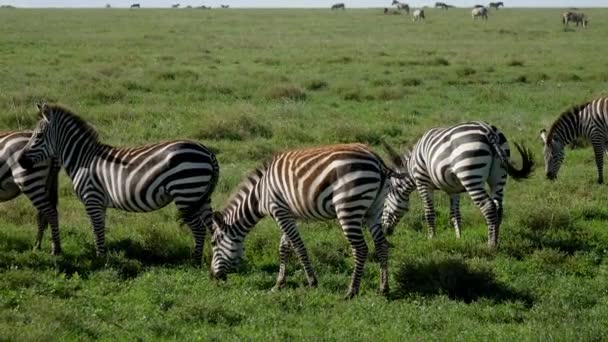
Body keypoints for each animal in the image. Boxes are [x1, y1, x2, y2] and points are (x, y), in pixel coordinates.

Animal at [16, 103, 221, 264]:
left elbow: (97, 229)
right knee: (212, 227)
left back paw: (195, 262)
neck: (83, 159)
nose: (20, 161)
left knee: (199, 228)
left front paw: (100, 260)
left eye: (38, 135)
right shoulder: (99, 203)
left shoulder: (92, 199)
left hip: (187, 193)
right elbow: (99, 229)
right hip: (201, 196)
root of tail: (207, 152)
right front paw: (103, 255)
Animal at [209, 143, 404, 298]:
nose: (212, 277)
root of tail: (376, 158)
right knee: (381, 244)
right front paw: (279, 283)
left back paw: (351, 291)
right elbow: (284, 247)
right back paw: (383, 288)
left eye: (213, 243)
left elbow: (298, 246)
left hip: (349, 206)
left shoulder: (279, 210)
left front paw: (312, 281)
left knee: (361, 249)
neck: (260, 194)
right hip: (374, 210)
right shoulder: (290, 214)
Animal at [382, 121, 536, 247]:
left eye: (383, 204)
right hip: (499, 176)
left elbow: (429, 212)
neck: (411, 167)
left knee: (489, 207)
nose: (385, 231)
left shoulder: (423, 183)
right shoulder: (453, 189)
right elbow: (455, 215)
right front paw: (458, 238)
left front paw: (431, 238)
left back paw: (491, 245)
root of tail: (488, 130)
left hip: (471, 175)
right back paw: (496, 240)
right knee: (498, 206)